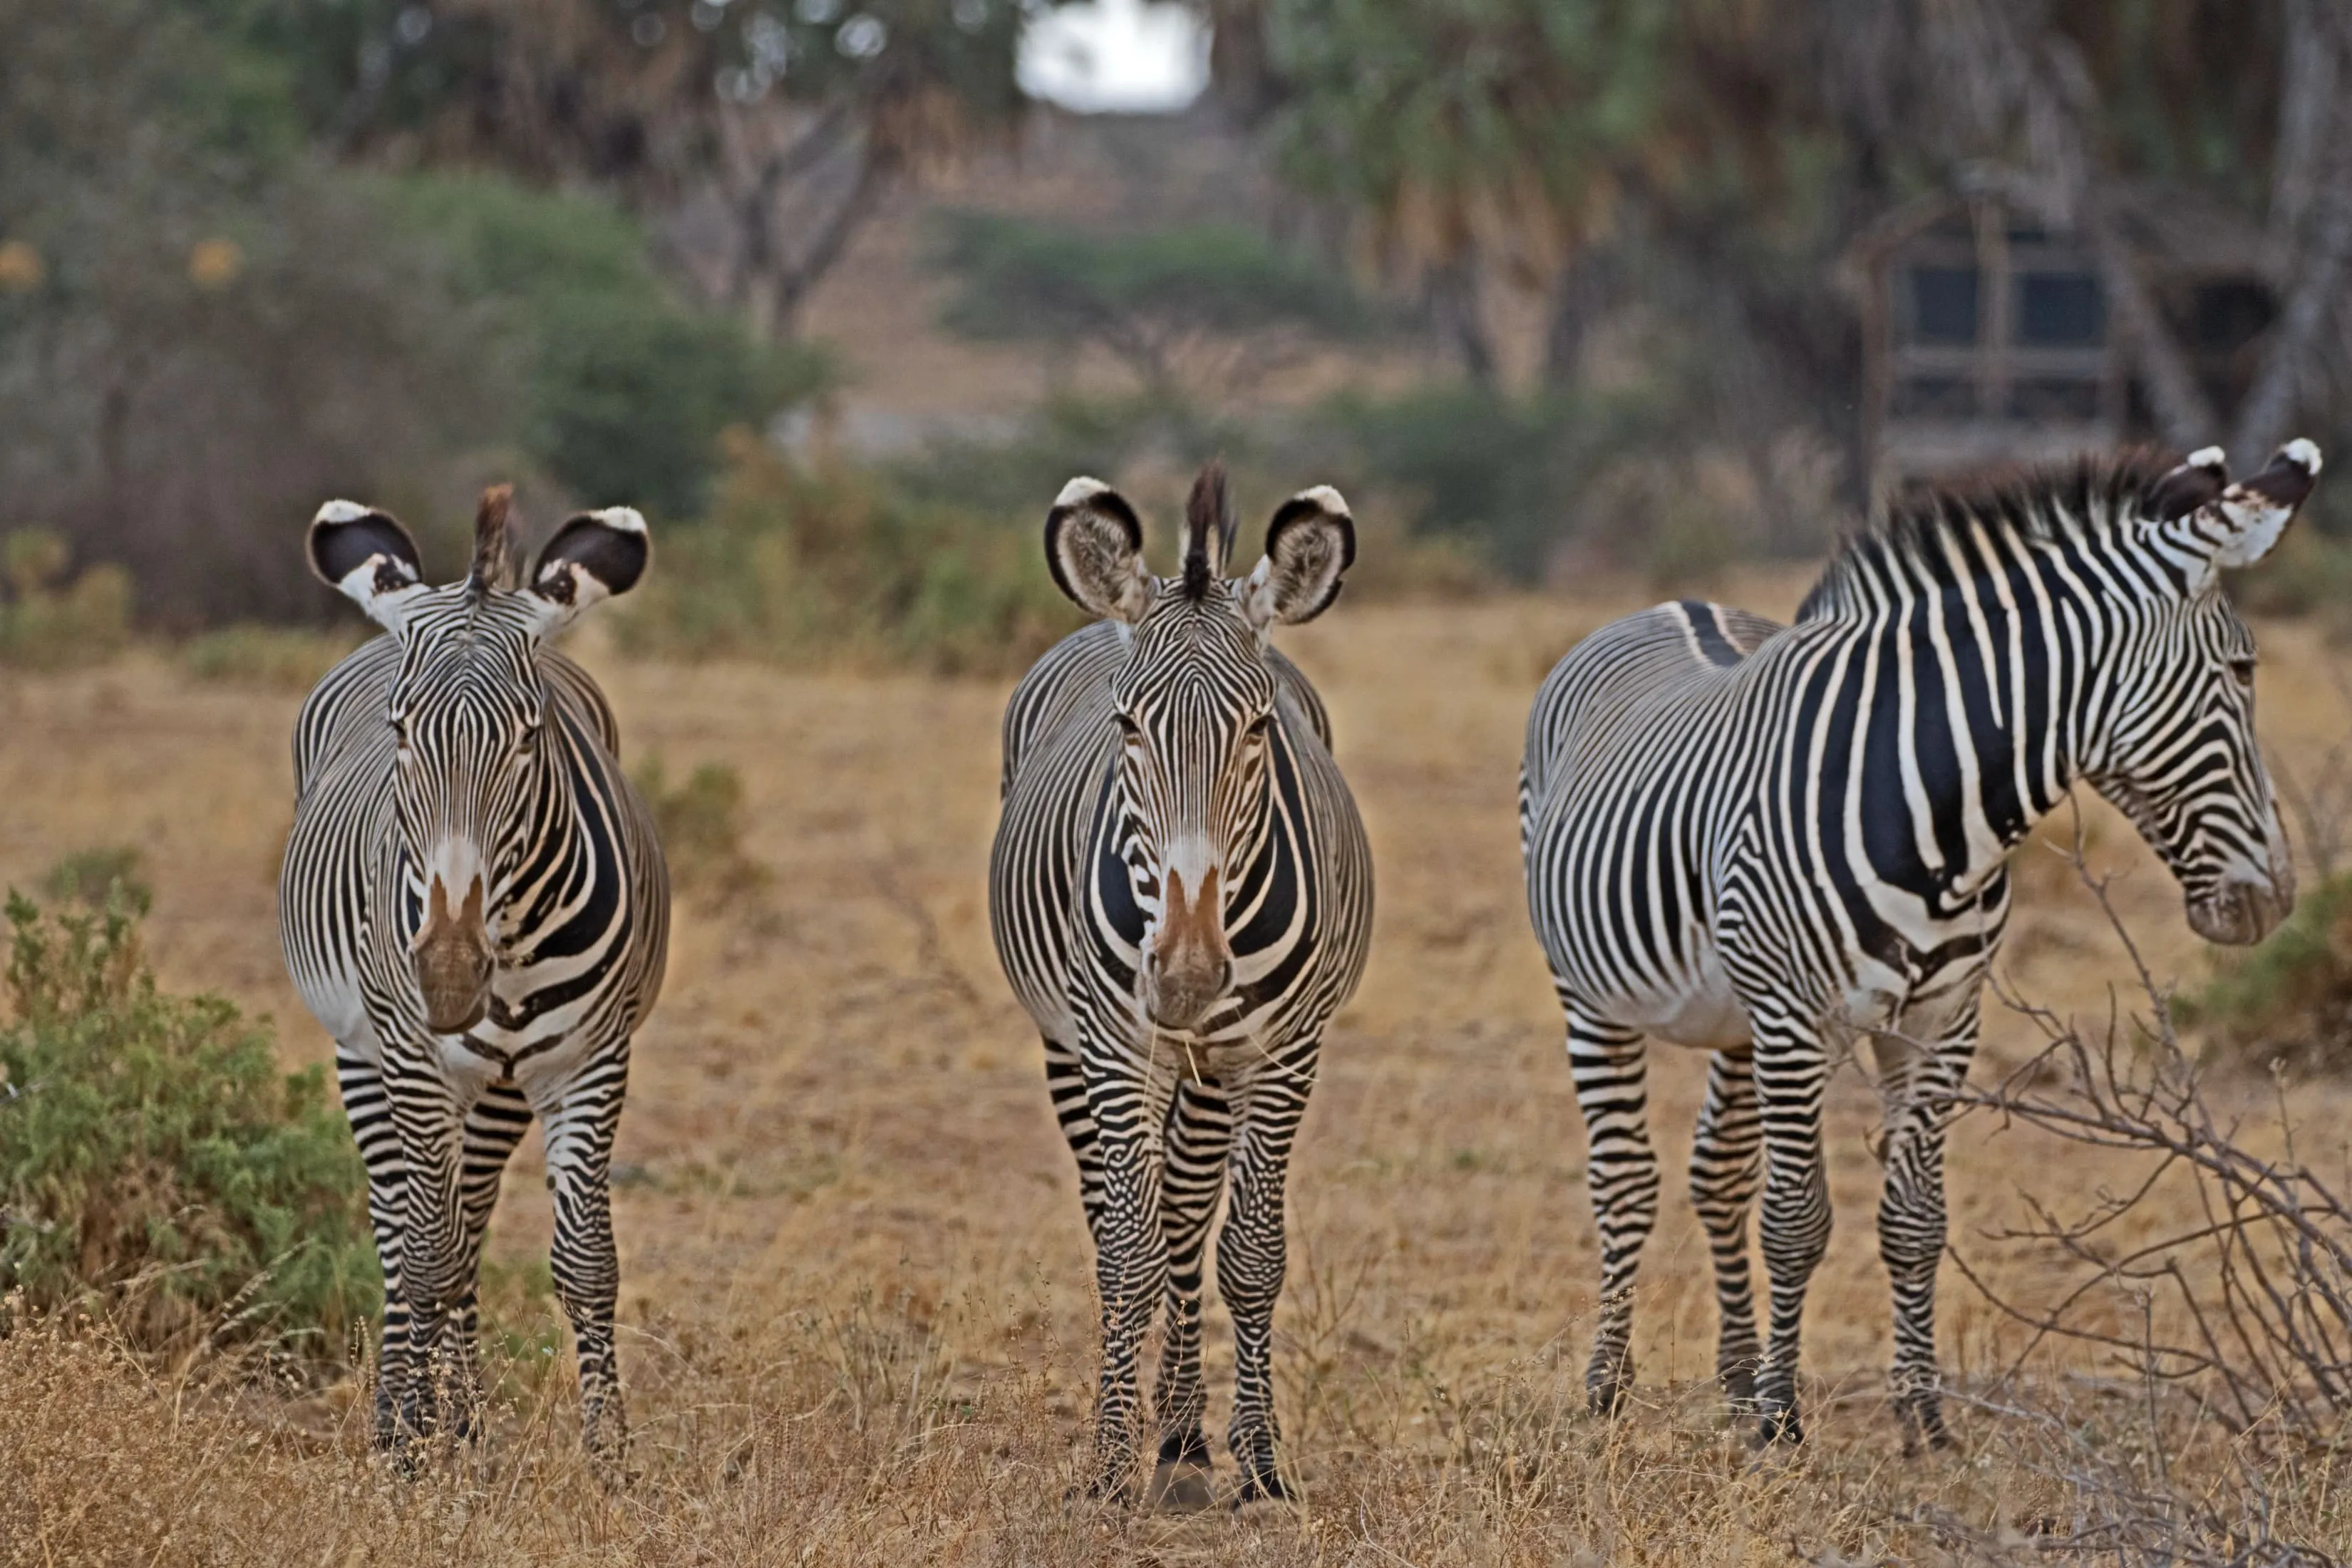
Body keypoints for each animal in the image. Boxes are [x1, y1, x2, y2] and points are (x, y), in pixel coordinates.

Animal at [280, 486, 668, 1461]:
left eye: (530, 738)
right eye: (401, 732)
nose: (451, 975)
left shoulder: (591, 1060)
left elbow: (584, 1261)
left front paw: (609, 1455)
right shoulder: (413, 1058)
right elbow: (422, 1256)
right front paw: (412, 1455)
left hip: (495, 1087)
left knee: (468, 1224)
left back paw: (466, 1419)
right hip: (364, 1052)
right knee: (399, 1222)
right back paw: (404, 1416)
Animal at [989, 463, 1373, 1504]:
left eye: (1260, 727)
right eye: (1127, 724)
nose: (1191, 973)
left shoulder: (1284, 1053)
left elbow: (1248, 1251)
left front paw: (1259, 1460)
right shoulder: (1114, 1044)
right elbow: (1127, 1253)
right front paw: (1106, 1463)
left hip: (1209, 1068)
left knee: (1189, 1215)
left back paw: (1184, 1434)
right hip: (1070, 1043)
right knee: (1122, 1216)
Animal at [1520, 441, 2320, 1450]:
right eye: (2244, 670)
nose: (2276, 898)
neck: (1939, 816)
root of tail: (1669, 603)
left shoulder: (1941, 1019)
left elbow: (1913, 1219)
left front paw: (1922, 1416)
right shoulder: (1797, 1017)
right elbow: (1797, 1218)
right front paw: (1781, 1423)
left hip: (1737, 1016)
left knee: (1719, 1173)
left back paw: (1734, 1378)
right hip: (1591, 992)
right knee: (1626, 1177)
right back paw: (1609, 1385)